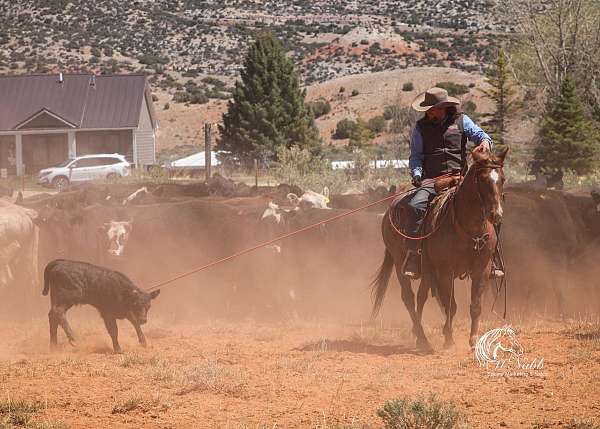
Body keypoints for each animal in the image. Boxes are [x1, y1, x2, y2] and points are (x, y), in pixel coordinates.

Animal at [372, 147, 508, 352]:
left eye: (502, 179)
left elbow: (475, 305)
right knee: (409, 298)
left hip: (427, 271)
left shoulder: (482, 270)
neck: (468, 229)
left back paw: (418, 335)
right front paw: (449, 340)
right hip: (399, 263)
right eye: (483, 179)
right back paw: (423, 339)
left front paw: (473, 340)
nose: (496, 214)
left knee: (421, 296)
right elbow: (450, 306)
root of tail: (390, 209)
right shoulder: (445, 271)